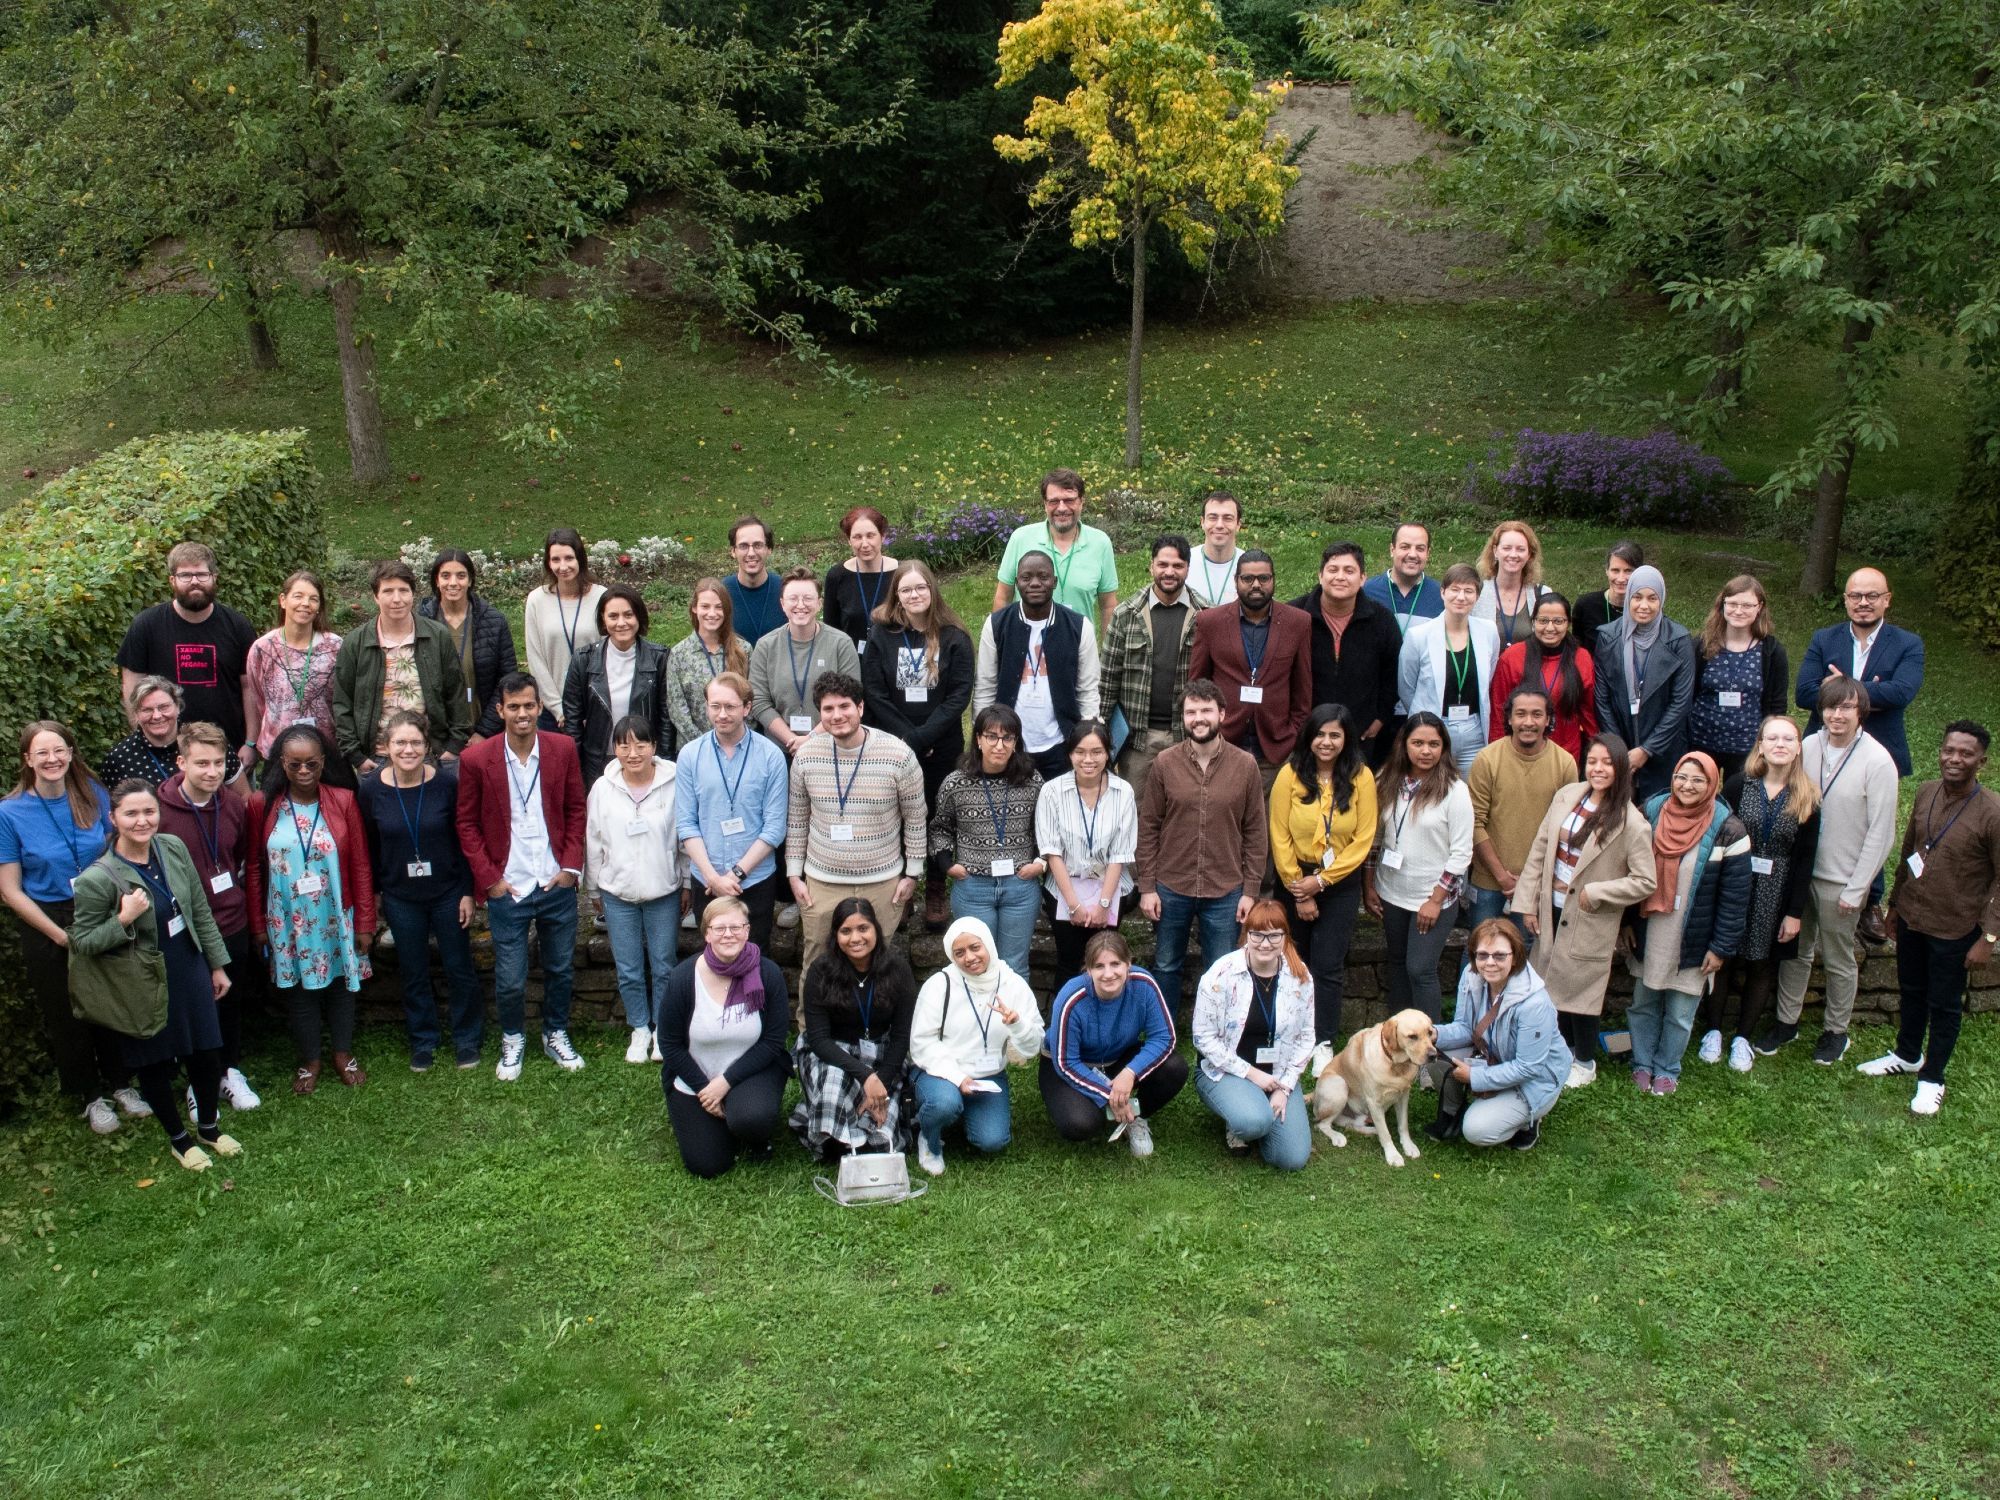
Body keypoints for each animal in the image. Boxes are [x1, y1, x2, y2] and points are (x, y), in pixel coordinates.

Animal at [1312, 1016, 1440, 1168]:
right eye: (1412, 1036)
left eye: (1430, 1033)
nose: (1433, 1055)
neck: (1396, 1064)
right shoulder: (1374, 1102)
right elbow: (1385, 1133)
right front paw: (1393, 1155)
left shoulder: (1403, 1096)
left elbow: (1403, 1125)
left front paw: (1409, 1146)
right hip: (1339, 1085)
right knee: (1321, 1124)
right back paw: (1338, 1137)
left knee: (1350, 1125)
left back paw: (1371, 1130)